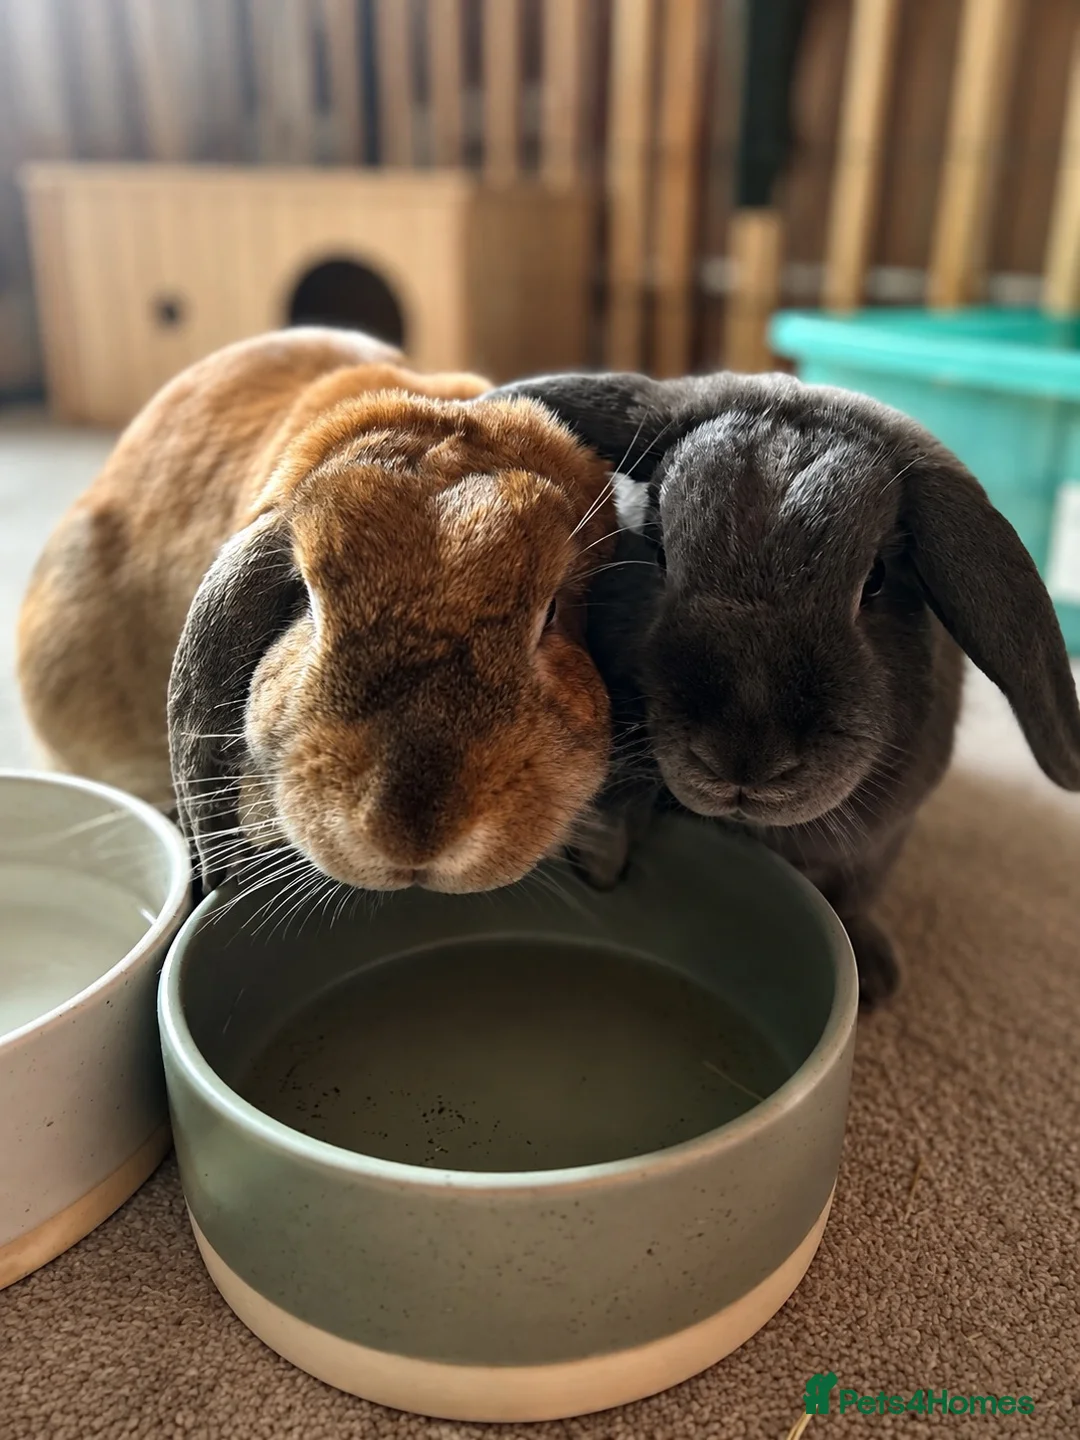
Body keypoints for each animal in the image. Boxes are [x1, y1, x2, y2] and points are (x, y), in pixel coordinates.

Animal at [488, 369, 1080, 1006]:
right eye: (658, 551)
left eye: (875, 580)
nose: (742, 760)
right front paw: (605, 857)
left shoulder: (884, 841)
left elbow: (857, 893)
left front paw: (875, 974)